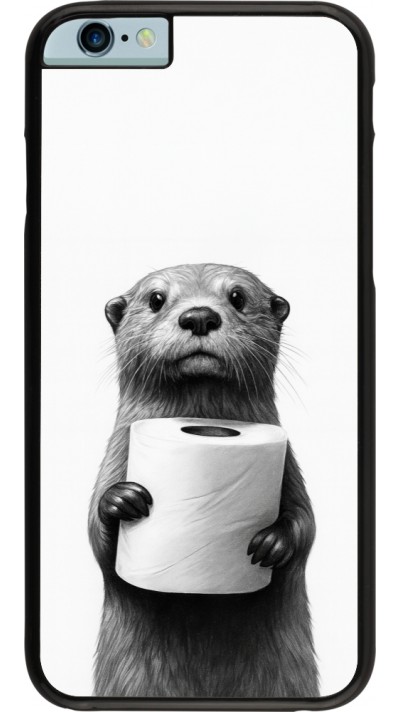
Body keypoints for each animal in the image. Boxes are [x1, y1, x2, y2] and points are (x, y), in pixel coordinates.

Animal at [88, 263, 318, 698]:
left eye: (238, 297)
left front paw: (273, 542)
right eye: (156, 299)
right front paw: (121, 501)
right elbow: (96, 537)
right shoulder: (115, 457)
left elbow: (307, 524)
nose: (199, 316)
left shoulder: (290, 468)